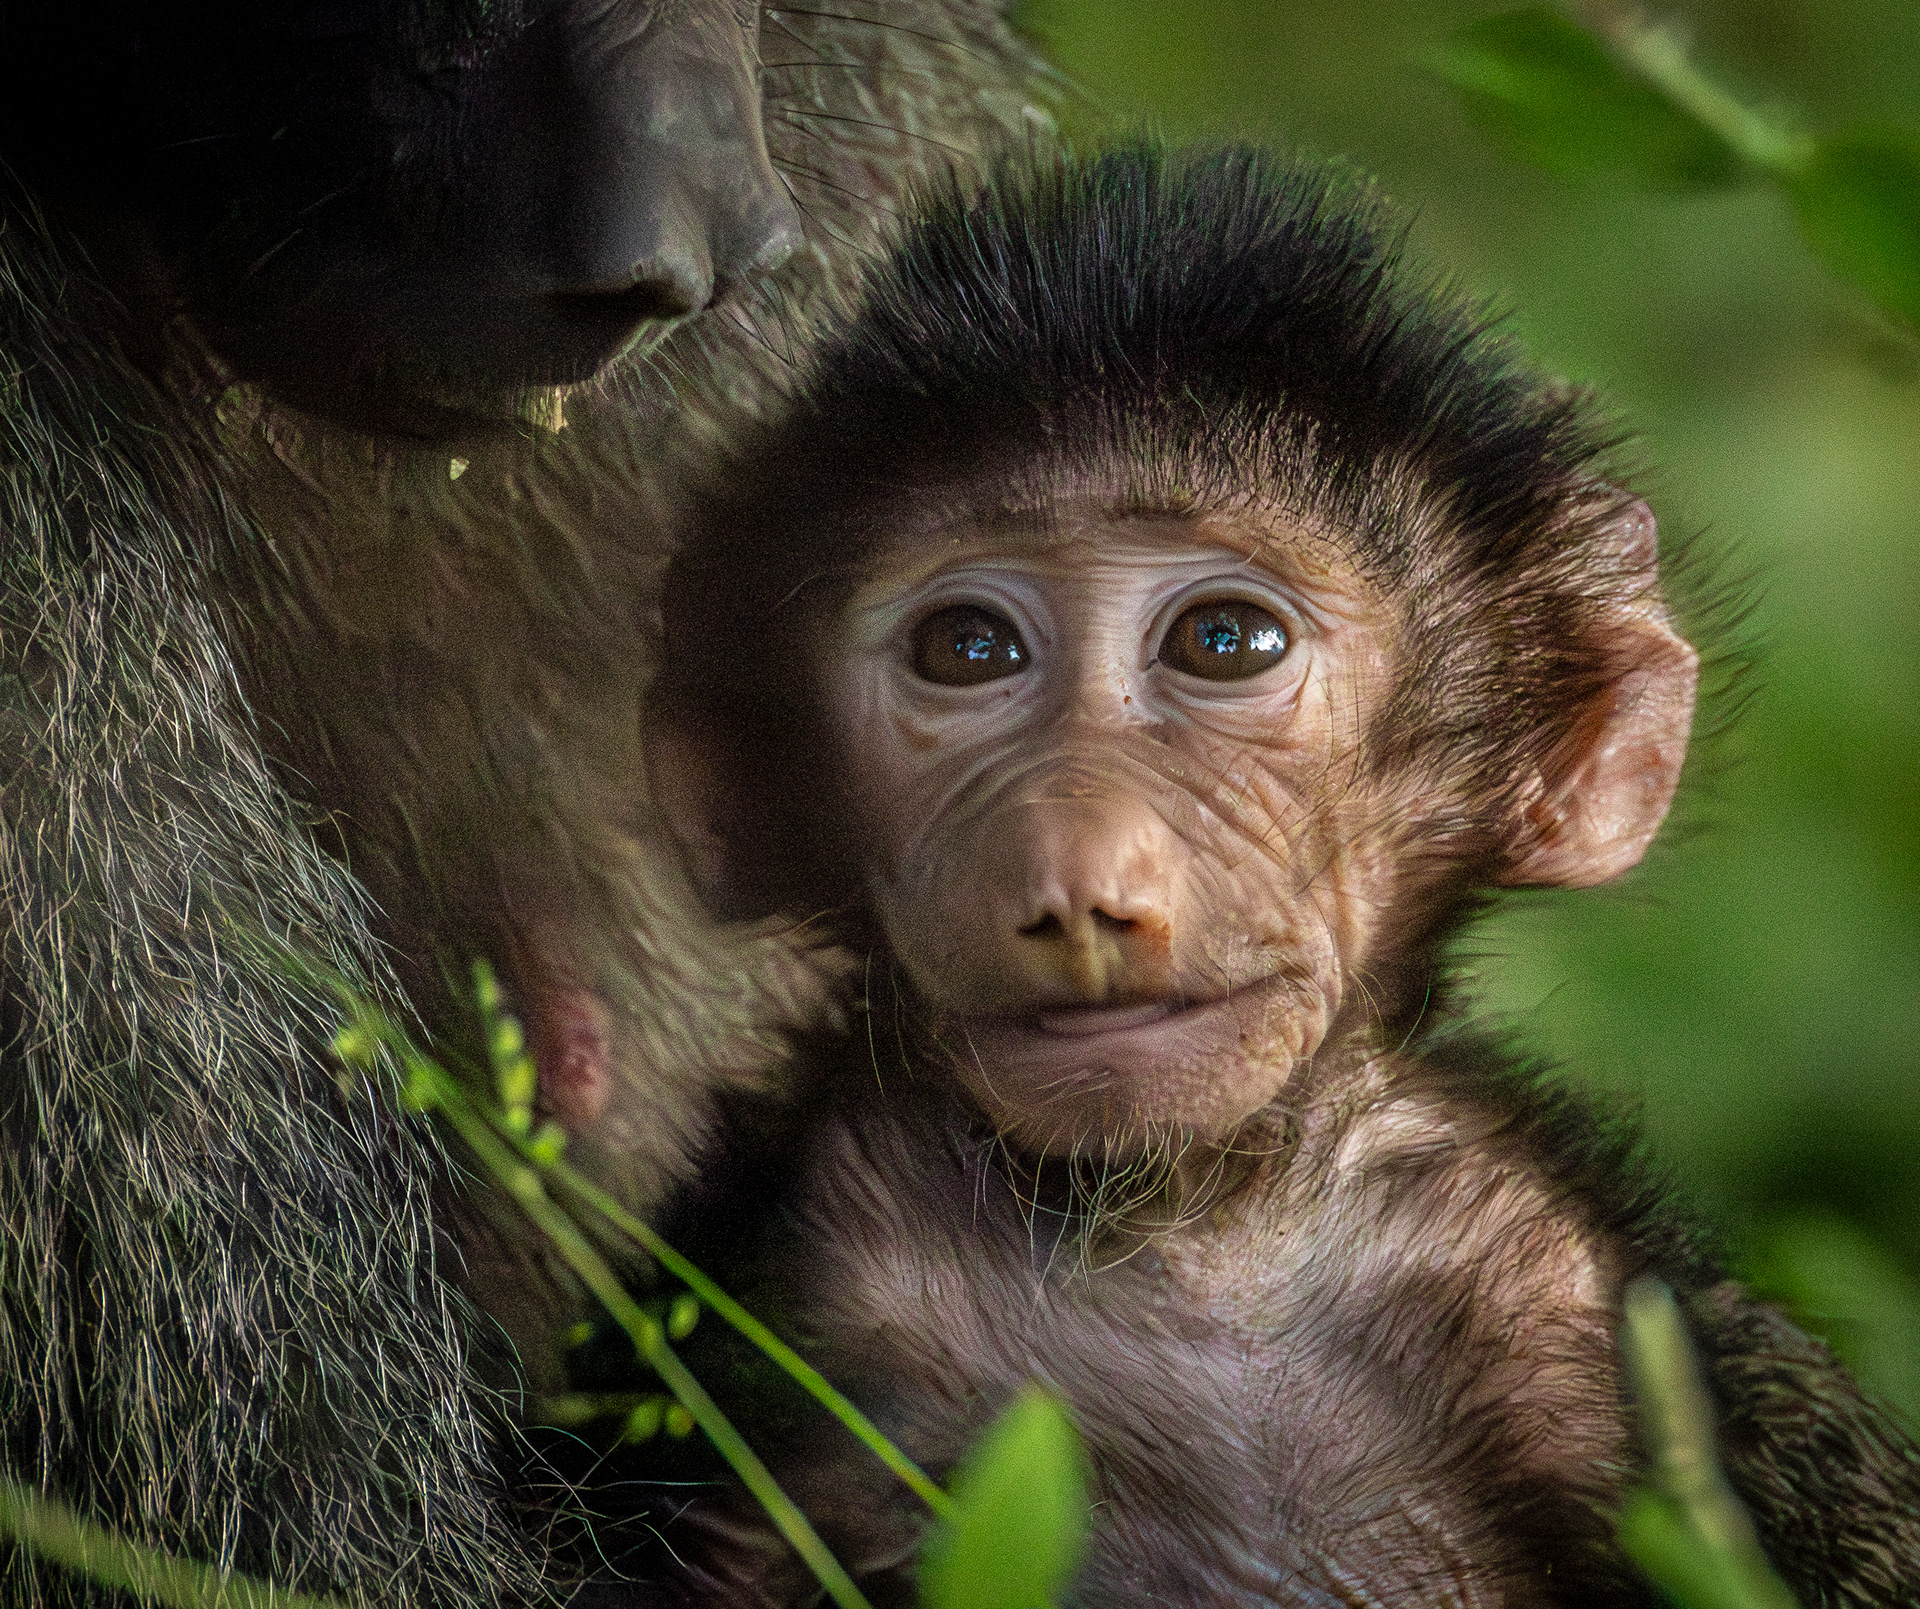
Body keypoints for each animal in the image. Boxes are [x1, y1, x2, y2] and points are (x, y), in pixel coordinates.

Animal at [628, 142, 1920, 1606]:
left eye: (1226, 640)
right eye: (965, 649)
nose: (1081, 877)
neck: (1189, 1239)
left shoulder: (1567, 1295)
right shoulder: (777, 1276)